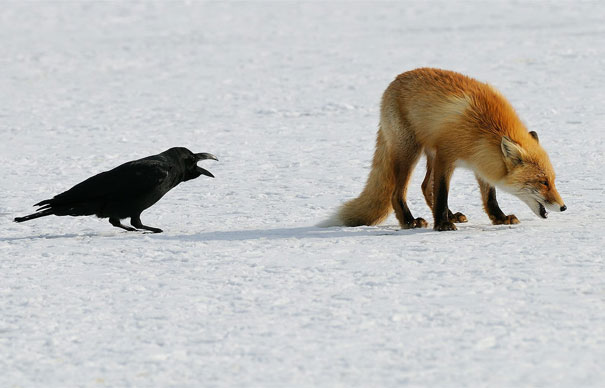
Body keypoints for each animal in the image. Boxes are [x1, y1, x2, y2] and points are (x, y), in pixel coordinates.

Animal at [324, 67, 564, 230]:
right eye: (542, 182)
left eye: (552, 181)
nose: (563, 207)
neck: (483, 127)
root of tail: (394, 81)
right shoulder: (446, 156)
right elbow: (441, 192)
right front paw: (442, 224)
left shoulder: (481, 160)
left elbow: (489, 196)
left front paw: (499, 218)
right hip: (410, 152)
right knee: (397, 193)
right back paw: (410, 221)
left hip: (427, 154)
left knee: (424, 186)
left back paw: (451, 215)